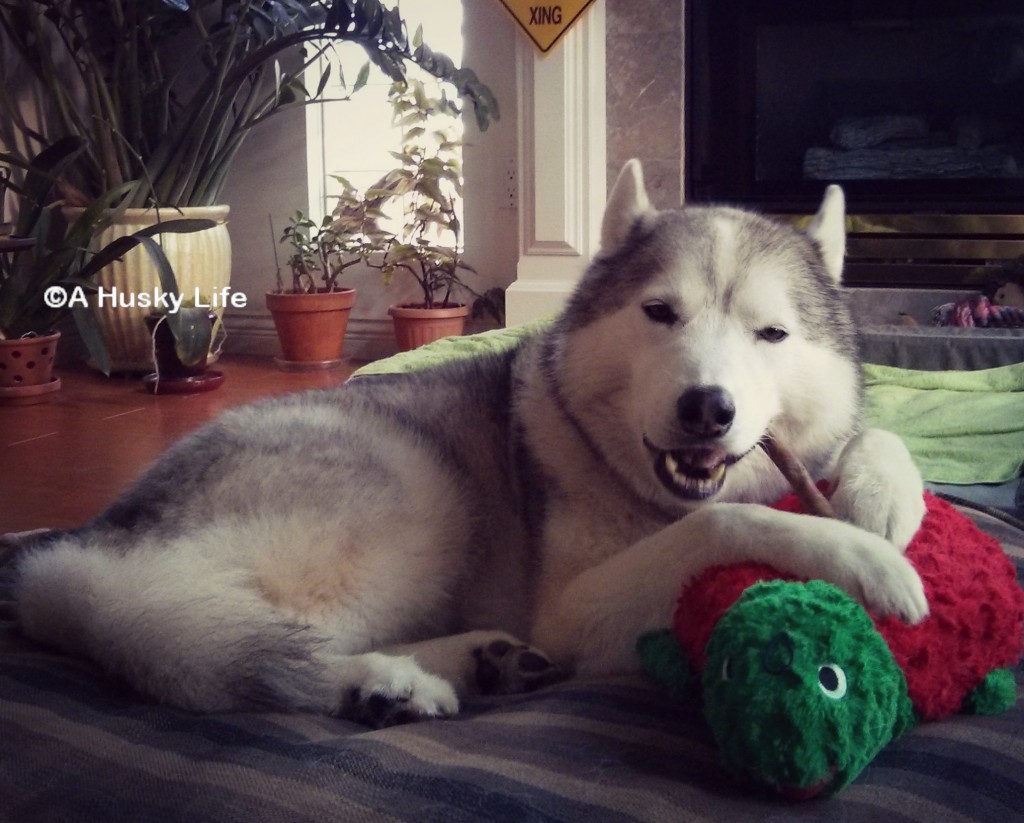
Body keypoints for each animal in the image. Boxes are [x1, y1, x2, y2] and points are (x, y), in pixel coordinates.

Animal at [12, 160, 933, 724]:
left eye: (771, 333)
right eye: (660, 312)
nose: (707, 407)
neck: (638, 484)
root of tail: (85, 549)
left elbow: (875, 436)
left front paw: (882, 498)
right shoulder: (574, 613)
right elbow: (722, 523)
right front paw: (858, 557)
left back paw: (474, 661)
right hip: (418, 491)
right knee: (272, 646)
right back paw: (379, 681)